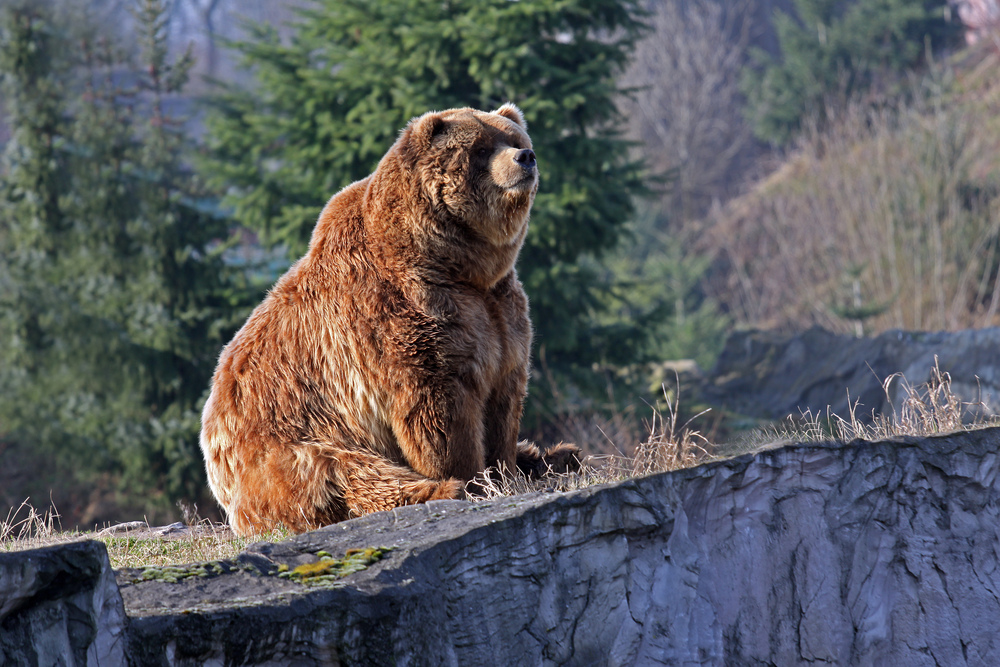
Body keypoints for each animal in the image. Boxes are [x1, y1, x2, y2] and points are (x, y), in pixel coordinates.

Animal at [199, 102, 580, 536]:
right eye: (481, 149)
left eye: (514, 138)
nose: (525, 157)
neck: (457, 263)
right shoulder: (404, 314)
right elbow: (439, 411)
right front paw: (469, 478)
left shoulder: (498, 312)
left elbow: (504, 400)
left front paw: (508, 468)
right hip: (292, 445)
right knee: (346, 474)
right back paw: (437, 489)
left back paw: (556, 455)